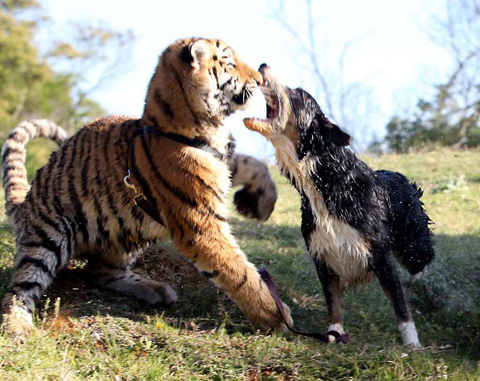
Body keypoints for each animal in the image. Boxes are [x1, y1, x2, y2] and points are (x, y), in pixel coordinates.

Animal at [244, 64, 436, 344]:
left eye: (298, 92)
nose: (262, 65)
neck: (327, 184)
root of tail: (402, 178)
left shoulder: (380, 254)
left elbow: (399, 304)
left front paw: (412, 342)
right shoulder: (323, 254)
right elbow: (332, 300)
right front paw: (334, 332)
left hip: (413, 243)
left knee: (422, 261)